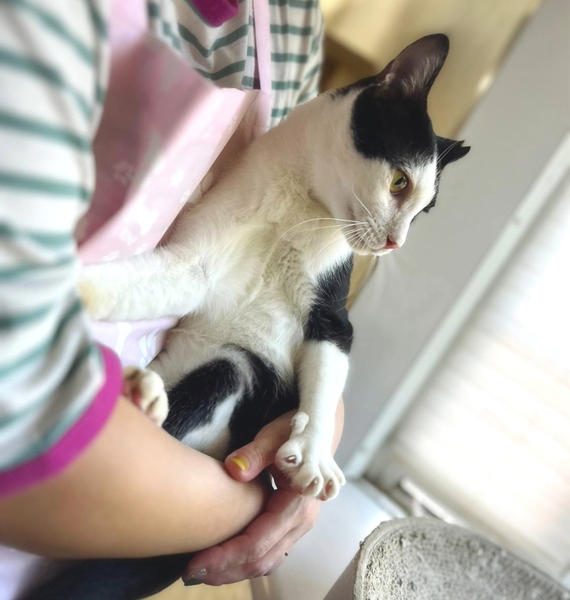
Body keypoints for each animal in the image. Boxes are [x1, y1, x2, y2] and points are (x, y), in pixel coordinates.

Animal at [24, 34, 469, 600]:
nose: (395, 243)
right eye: (398, 183)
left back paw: (134, 392)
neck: (299, 204)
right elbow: (135, 282)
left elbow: (327, 376)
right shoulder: (193, 267)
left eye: (424, 210)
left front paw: (314, 454)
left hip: (238, 370)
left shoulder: (333, 318)